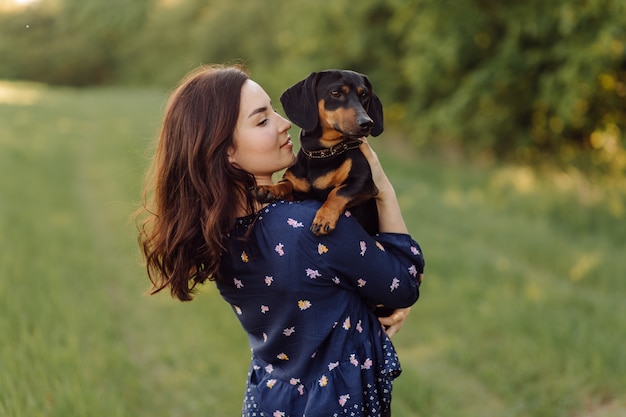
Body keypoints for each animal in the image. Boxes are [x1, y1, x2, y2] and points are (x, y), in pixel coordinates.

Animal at [252, 70, 380, 236]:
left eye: (364, 95)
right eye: (335, 93)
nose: (367, 123)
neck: (322, 153)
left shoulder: (364, 183)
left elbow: (338, 192)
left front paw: (324, 217)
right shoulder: (298, 194)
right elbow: (286, 183)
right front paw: (269, 189)